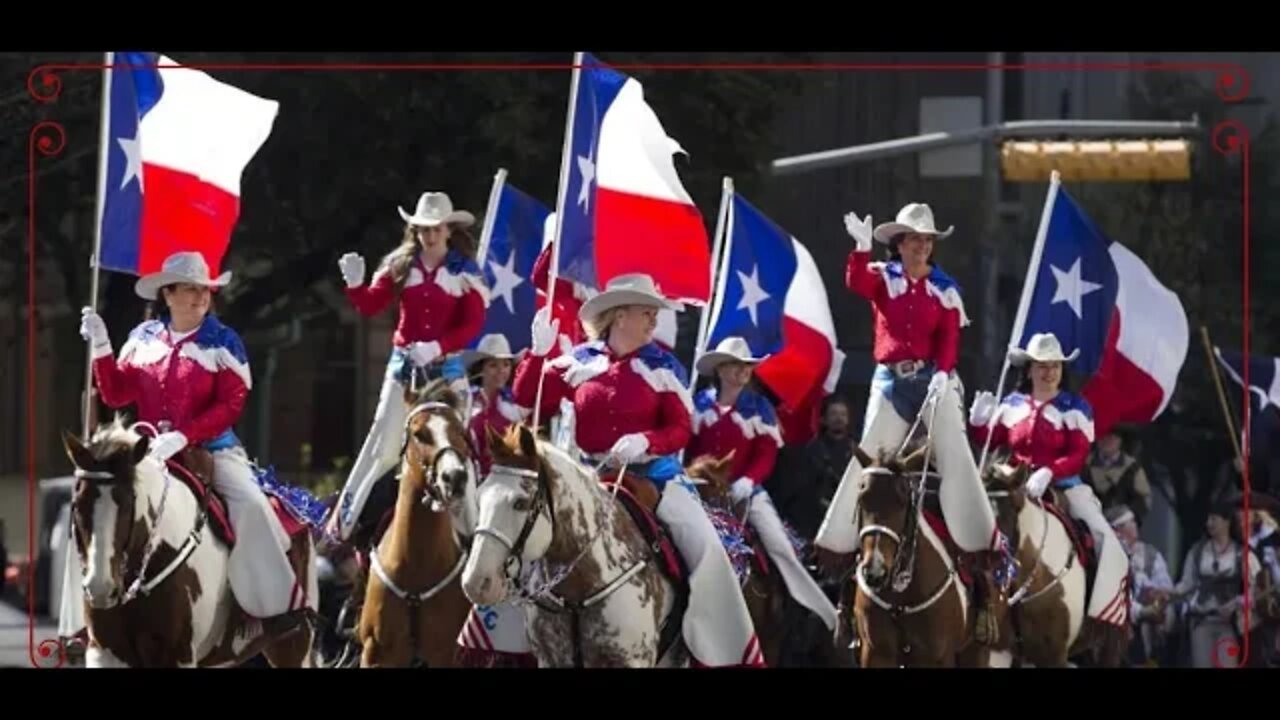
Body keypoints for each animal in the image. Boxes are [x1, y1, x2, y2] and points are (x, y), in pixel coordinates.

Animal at [61, 417, 317, 666]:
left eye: (128, 503)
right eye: (77, 504)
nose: (100, 589)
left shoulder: (178, 653)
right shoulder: (104, 651)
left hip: (292, 646)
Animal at [463, 422, 691, 666]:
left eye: (520, 503)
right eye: (478, 498)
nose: (475, 583)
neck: (579, 591)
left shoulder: (634, 659)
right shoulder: (550, 658)